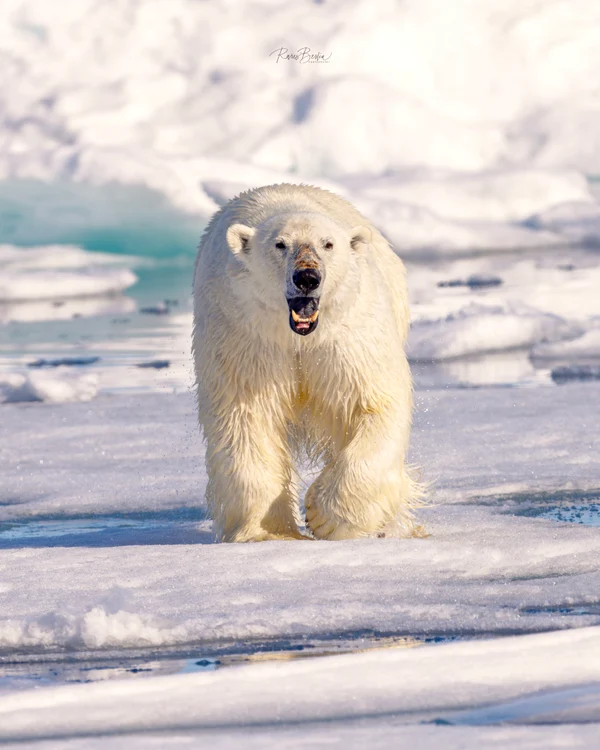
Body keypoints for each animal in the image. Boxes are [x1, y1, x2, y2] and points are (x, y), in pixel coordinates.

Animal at [193, 185, 422, 544]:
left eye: (328, 244)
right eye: (280, 244)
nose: (307, 277)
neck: (297, 338)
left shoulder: (346, 338)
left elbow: (374, 403)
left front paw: (325, 517)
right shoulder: (246, 337)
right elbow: (245, 418)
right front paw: (269, 532)